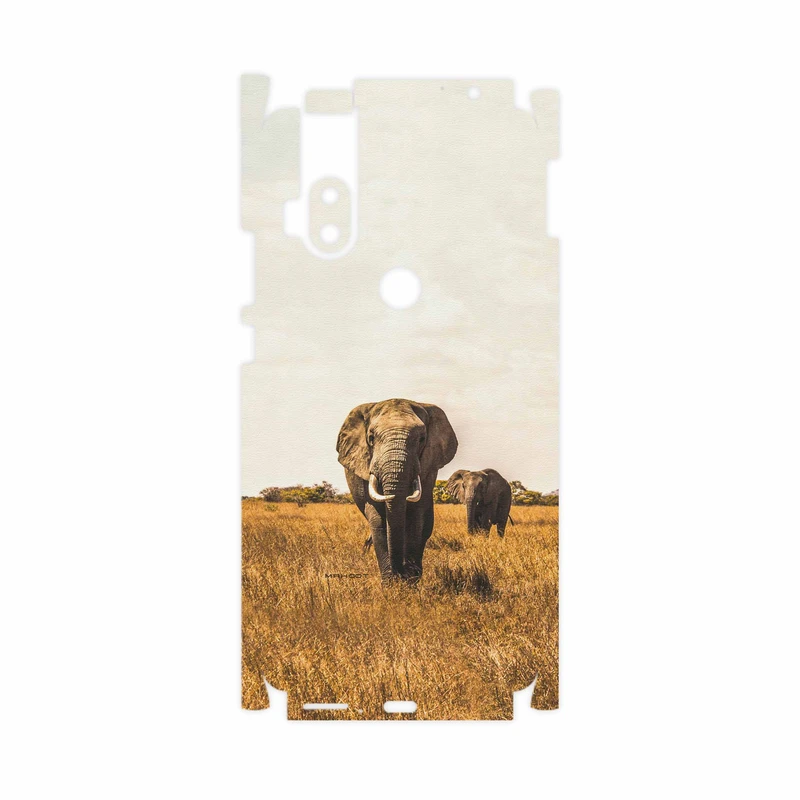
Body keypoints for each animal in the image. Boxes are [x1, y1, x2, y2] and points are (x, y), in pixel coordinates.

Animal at [337, 399, 458, 582]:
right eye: (371, 438)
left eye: (422, 439)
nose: (401, 573)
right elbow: (378, 520)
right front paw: (391, 583)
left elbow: (416, 518)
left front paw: (410, 581)